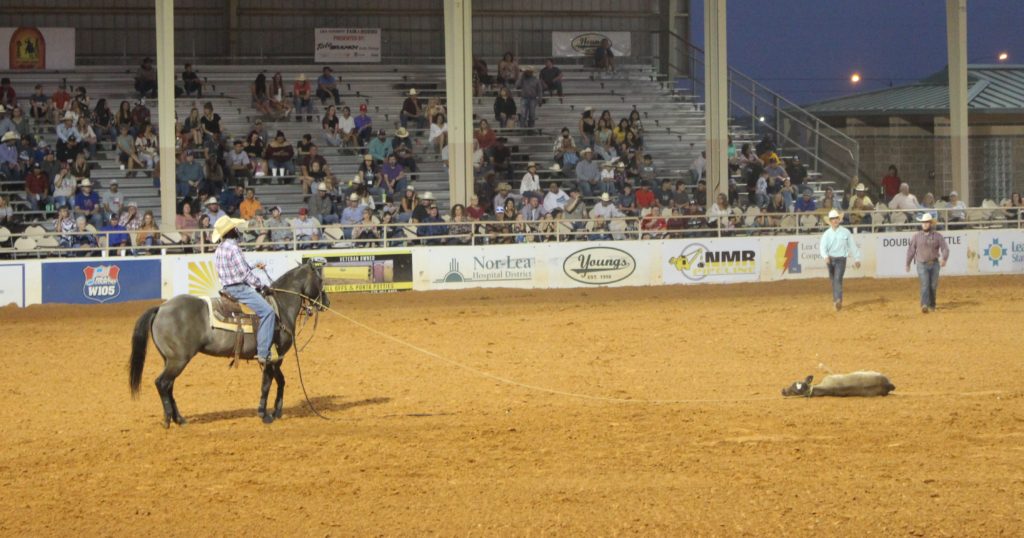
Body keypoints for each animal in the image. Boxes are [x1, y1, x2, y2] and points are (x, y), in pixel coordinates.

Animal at [128, 258, 327, 426]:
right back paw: (168, 419)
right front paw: (265, 414)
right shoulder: (273, 357)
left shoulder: (274, 359)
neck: (280, 308)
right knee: (162, 383)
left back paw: (180, 419)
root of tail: (161, 308)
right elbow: (267, 383)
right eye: (320, 281)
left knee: (169, 385)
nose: (326, 302)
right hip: (178, 360)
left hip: (170, 359)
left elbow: (280, 381)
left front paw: (276, 411)